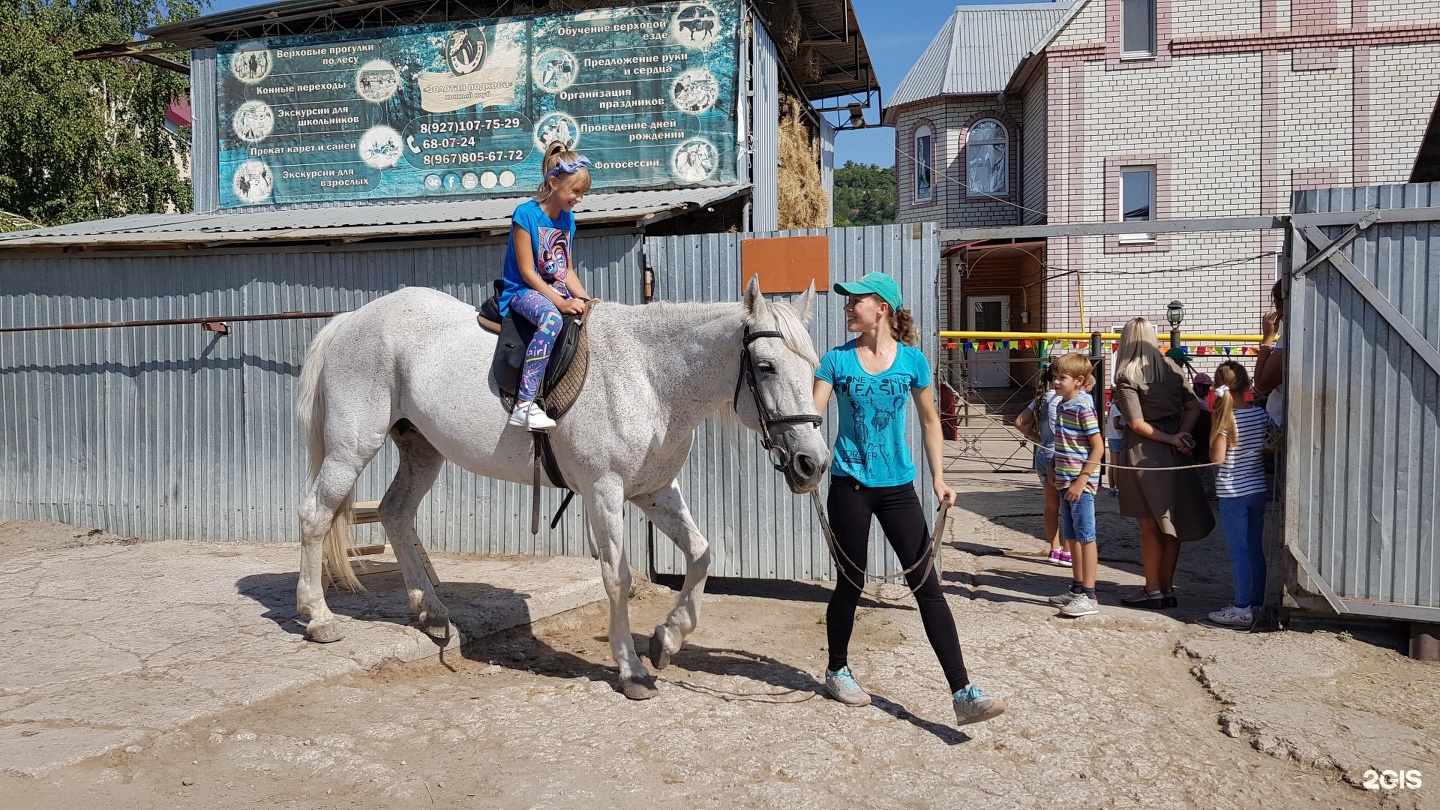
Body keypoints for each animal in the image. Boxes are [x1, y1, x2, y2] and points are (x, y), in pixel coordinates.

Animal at [295, 275, 835, 694]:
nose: (812, 463)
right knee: (315, 515)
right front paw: (631, 669)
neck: (648, 377)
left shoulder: (655, 491)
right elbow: (617, 577)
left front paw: (668, 638)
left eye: (813, 366)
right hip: (351, 448)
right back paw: (319, 618)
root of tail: (351, 319)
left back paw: (430, 612)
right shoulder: (604, 492)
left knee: (396, 513)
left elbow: (701, 554)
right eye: (765, 366)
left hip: (423, 451)